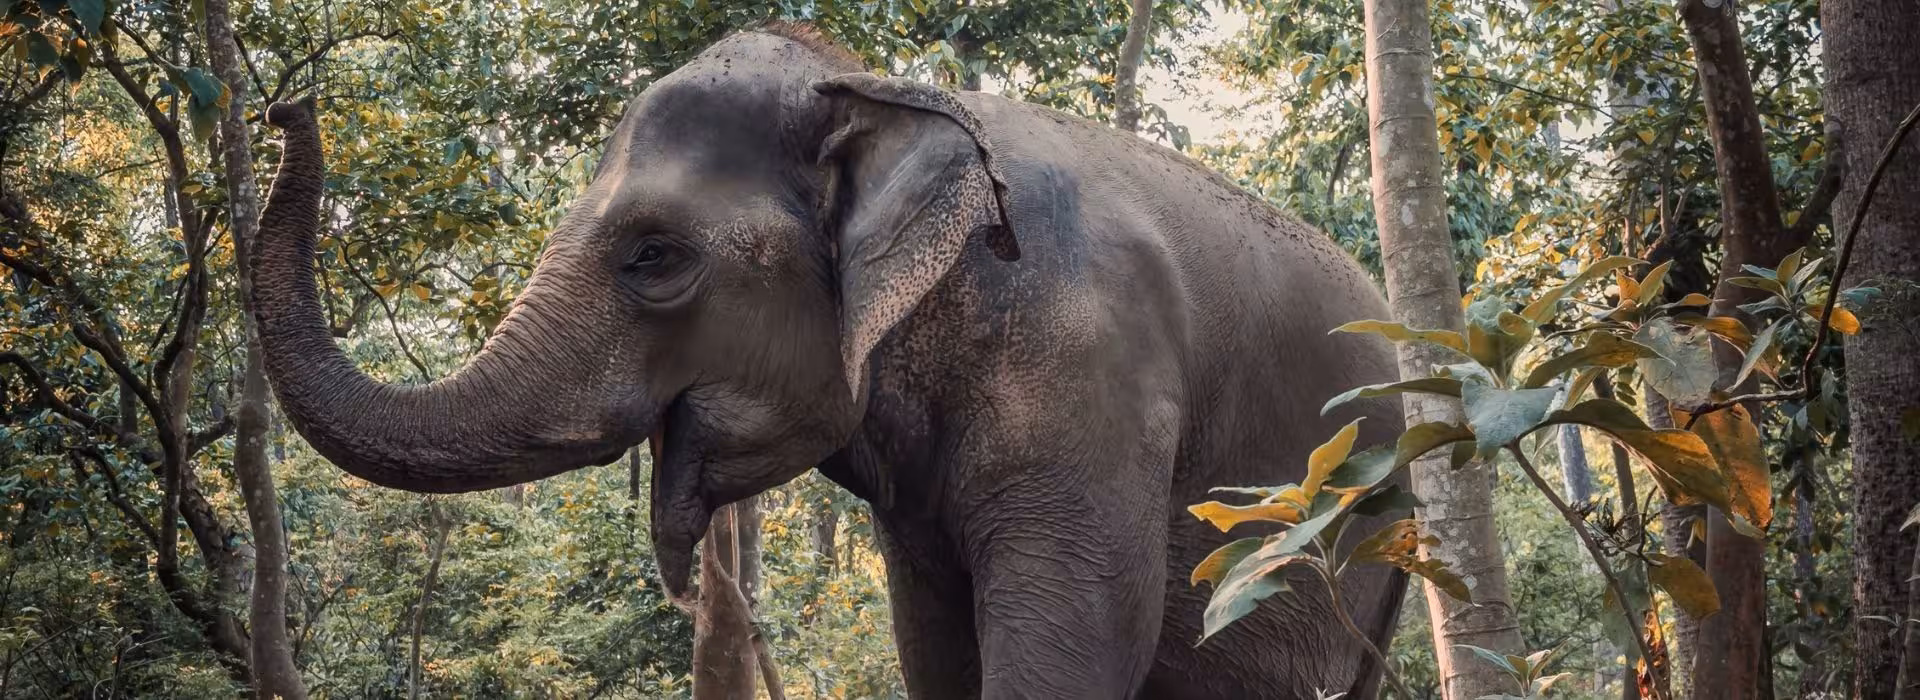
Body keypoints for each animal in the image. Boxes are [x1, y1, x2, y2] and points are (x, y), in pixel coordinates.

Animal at [251, 21, 1409, 700]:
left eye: (654, 256)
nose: (284, 105)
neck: (881, 86)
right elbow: (933, 640)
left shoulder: (1094, 382)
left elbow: (1077, 646)